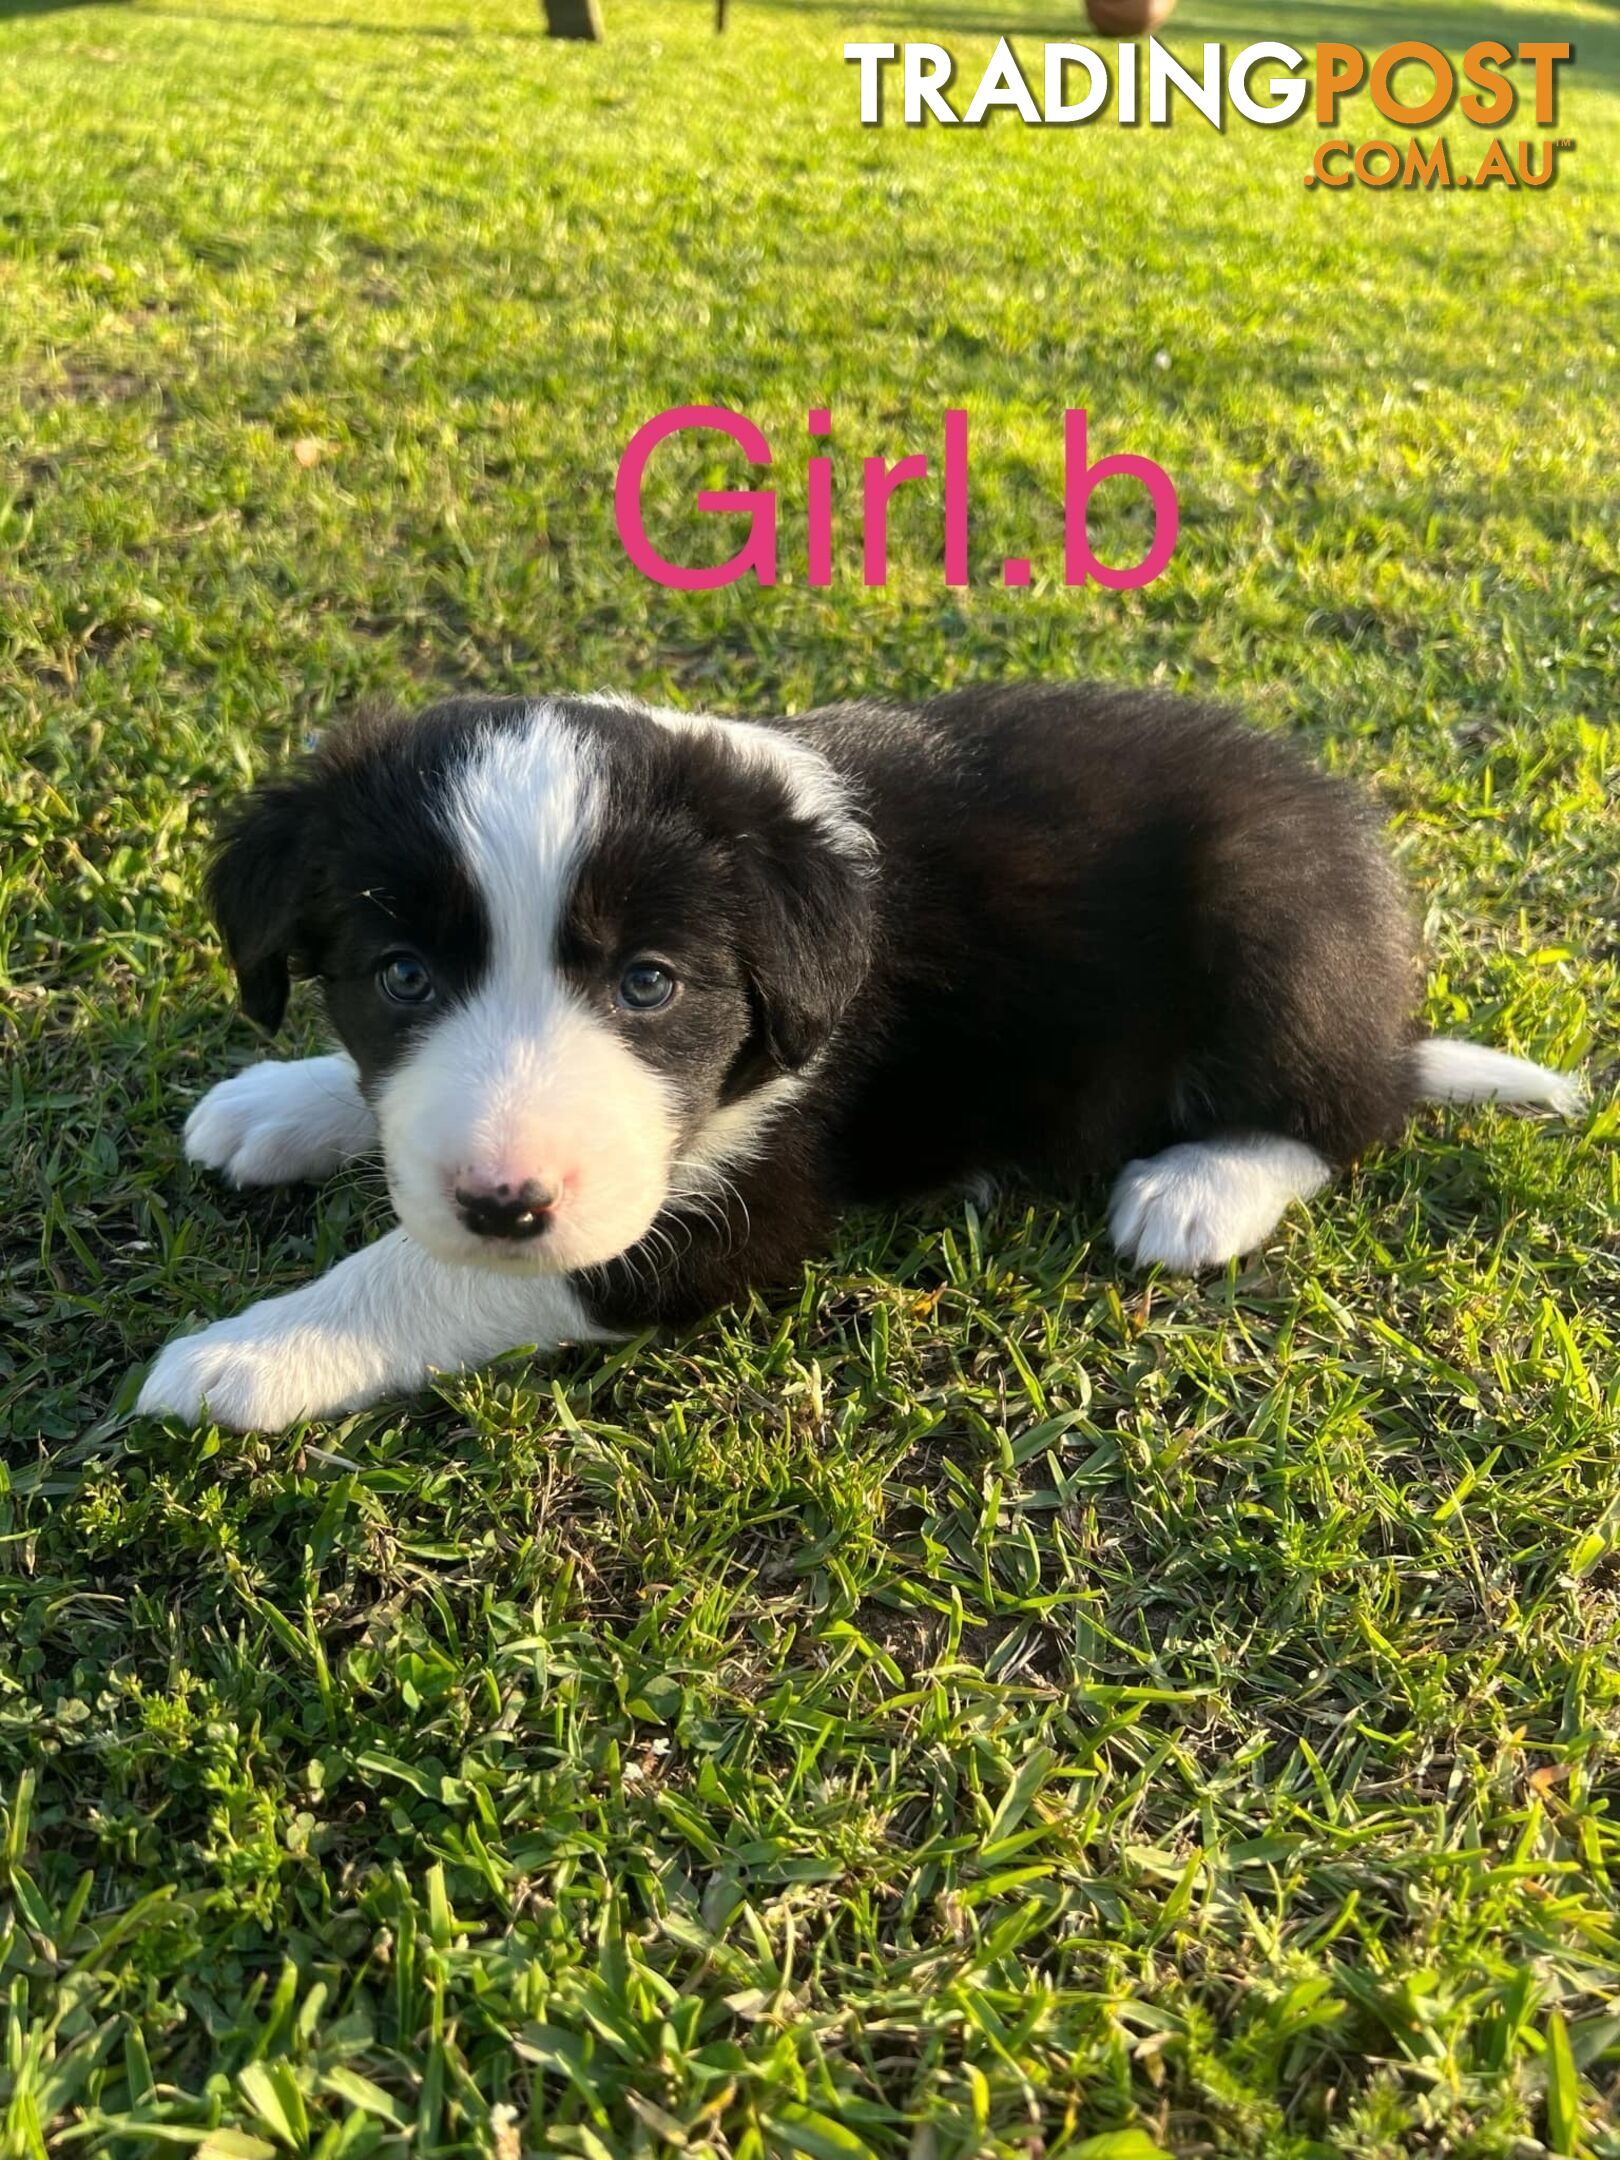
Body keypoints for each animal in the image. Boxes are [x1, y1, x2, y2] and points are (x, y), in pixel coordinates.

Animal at [136, 686, 1589, 1434]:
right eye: (401, 979)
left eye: (649, 984)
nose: (504, 1201)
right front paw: (284, 1102)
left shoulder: (724, 1212)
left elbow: (428, 1276)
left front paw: (254, 1352)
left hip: (1276, 920)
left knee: (1345, 1112)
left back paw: (1200, 1187)